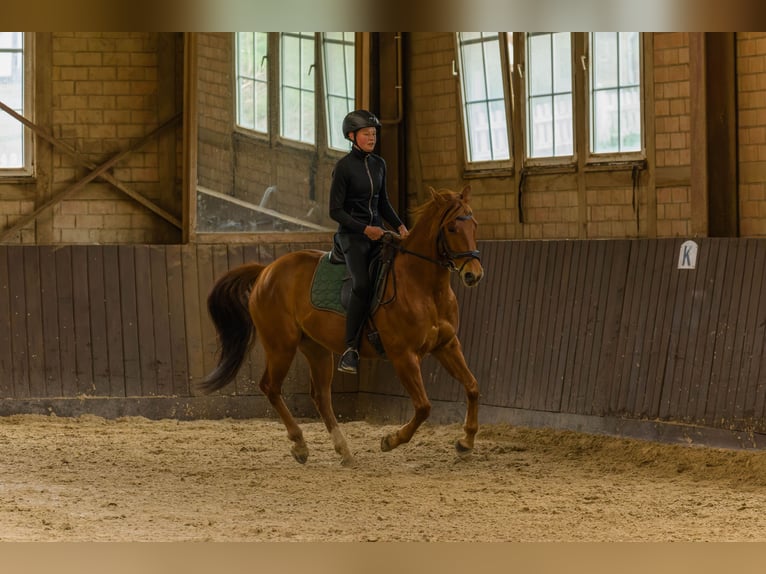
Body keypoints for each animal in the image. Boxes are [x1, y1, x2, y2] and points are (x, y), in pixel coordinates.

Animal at [198, 187, 486, 466]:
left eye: (474, 226)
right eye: (452, 228)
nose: (474, 275)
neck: (423, 287)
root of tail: (266, 271)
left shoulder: (447, 345)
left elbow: (473, 387)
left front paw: (465, 442)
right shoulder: (403, 356)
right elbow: (424, 406)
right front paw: (390, 440)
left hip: (316, 349)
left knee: (320, 396)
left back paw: (343, 450)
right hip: (281, 346)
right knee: (271, 387)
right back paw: (300, 444)